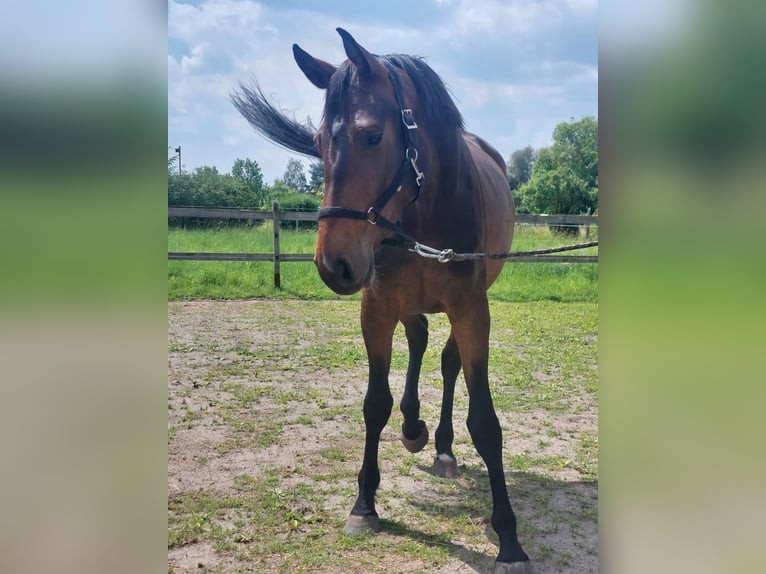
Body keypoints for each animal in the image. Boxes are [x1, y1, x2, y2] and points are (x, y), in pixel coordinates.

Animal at [232, 28, 536, 574]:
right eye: (317, 144)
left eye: (372, 135)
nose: (333, 263)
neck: (427, 208)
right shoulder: (376, 310)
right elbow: (376, 403)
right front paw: (364, 504)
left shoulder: (472, 311)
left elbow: (484, 420)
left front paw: (508, 538)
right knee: (417, 343)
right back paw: (415, 429)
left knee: (447, 362)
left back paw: (441, 447)